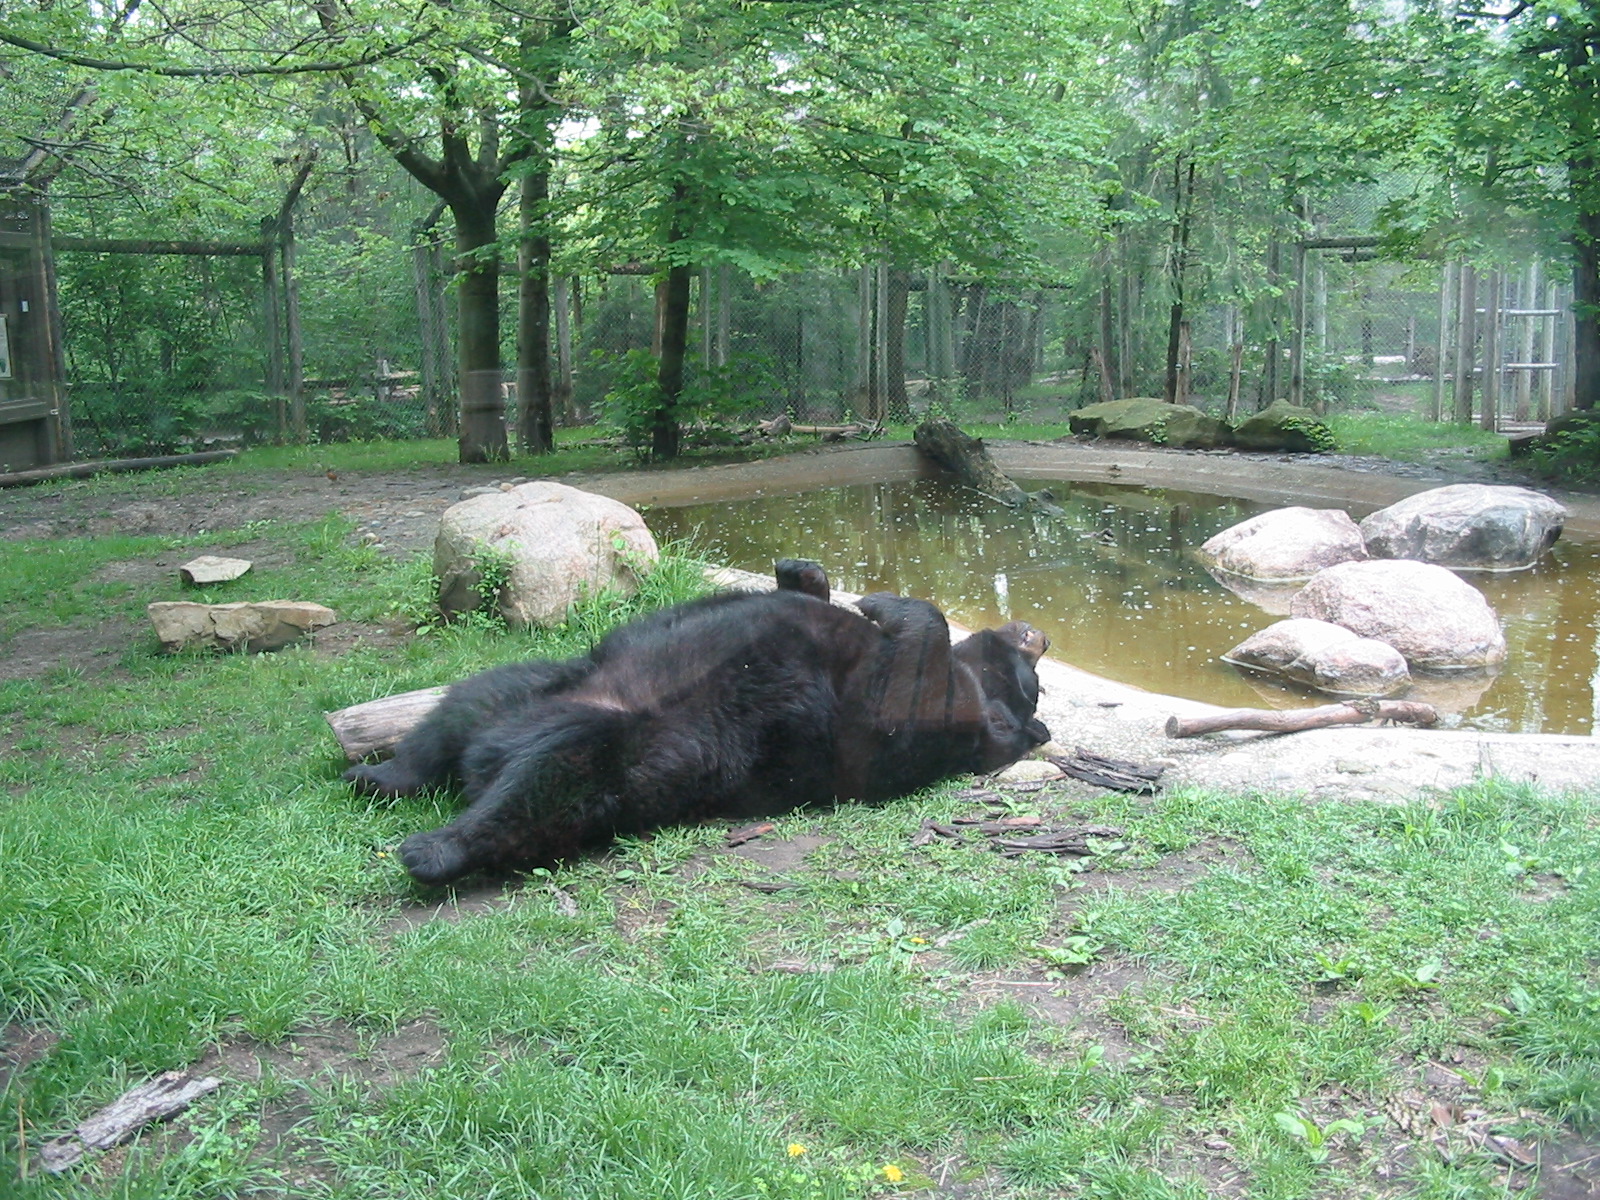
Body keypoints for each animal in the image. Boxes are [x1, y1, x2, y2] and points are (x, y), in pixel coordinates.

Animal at [346, 559, 1050, 885]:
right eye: (1033, 669)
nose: (1037, 635)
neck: (979, 686)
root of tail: (487, 756)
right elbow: (805, 598)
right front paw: (811, 575)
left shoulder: (923, 720)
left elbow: (904, 693)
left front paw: (885, 601)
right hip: (539, 682)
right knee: (461, 709)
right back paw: (380, 774)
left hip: (633, 751)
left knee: (549, 784)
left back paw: (434, 847)